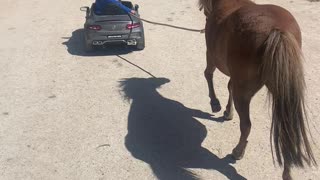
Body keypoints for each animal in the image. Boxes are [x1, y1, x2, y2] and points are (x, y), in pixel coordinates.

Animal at [199, 0, 316, 179]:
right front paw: (227, 112)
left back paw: (237, 152)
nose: (205, 12)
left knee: (246, 125)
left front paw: (215, 104)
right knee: (286, 134)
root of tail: (278, 30)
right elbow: (229, 86)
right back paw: (287, 173)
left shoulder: (211, 55)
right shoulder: (235, 77)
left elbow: (208, 74)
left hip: (244, 93)